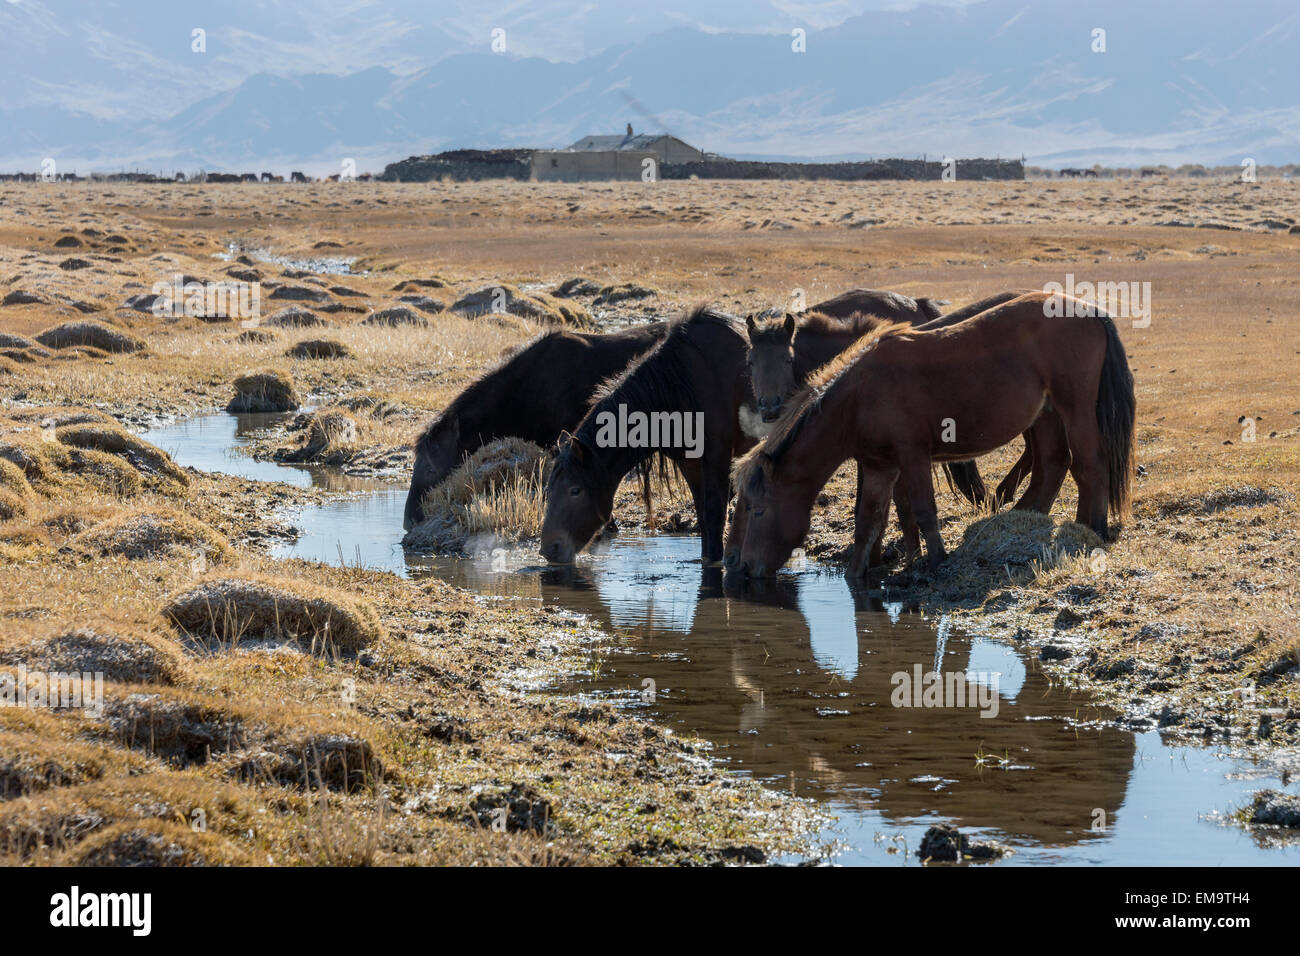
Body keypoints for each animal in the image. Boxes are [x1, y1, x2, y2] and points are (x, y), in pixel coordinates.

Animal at [540, 306, 754, 564]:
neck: (678, 388)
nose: (550, 549)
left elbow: (714, 514)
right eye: (549, 489)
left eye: (575, 490)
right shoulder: (690, 464)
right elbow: (703, 517)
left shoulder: (717, 454)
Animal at [738, 291, 1133, 574]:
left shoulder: (913, 456)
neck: (859, 396)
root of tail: (1089, 309)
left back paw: (1094, 528)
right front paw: (862, 575)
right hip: (1047, 414)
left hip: (1075, 408)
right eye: (750, 363)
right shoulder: (880, 466)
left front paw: (936, 561)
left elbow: (923, 510)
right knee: (1052, 465)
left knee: (1090, 463)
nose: (742, 567)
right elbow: (870, 521)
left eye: (757, 511)